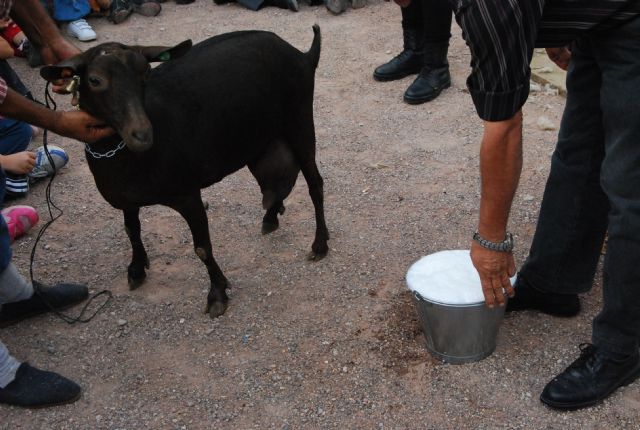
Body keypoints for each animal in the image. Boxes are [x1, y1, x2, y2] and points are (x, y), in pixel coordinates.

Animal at [39, 25, 328, 318]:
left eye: (146, 72)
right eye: (95, 80)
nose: (142, 134)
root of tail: (303, 55)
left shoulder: (188, 194)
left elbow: (202, 248)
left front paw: (217, 294)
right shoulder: (127, 200)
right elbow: (131, 230)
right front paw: (136, 269)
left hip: (299, 120)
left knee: (315, 183)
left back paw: (319, 244)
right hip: (258, 141)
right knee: (274, 185)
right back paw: (270, 217)